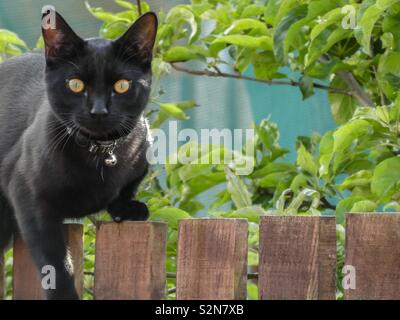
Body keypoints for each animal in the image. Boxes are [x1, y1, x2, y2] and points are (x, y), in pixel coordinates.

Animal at [0, 10, 158, 300]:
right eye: (75, 84)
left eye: (122, 85)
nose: (98, 111)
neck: (101, 154)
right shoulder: (28, 196)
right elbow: (56, 263)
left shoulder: (139, 161)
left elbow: (125, 190)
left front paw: (129, 207)